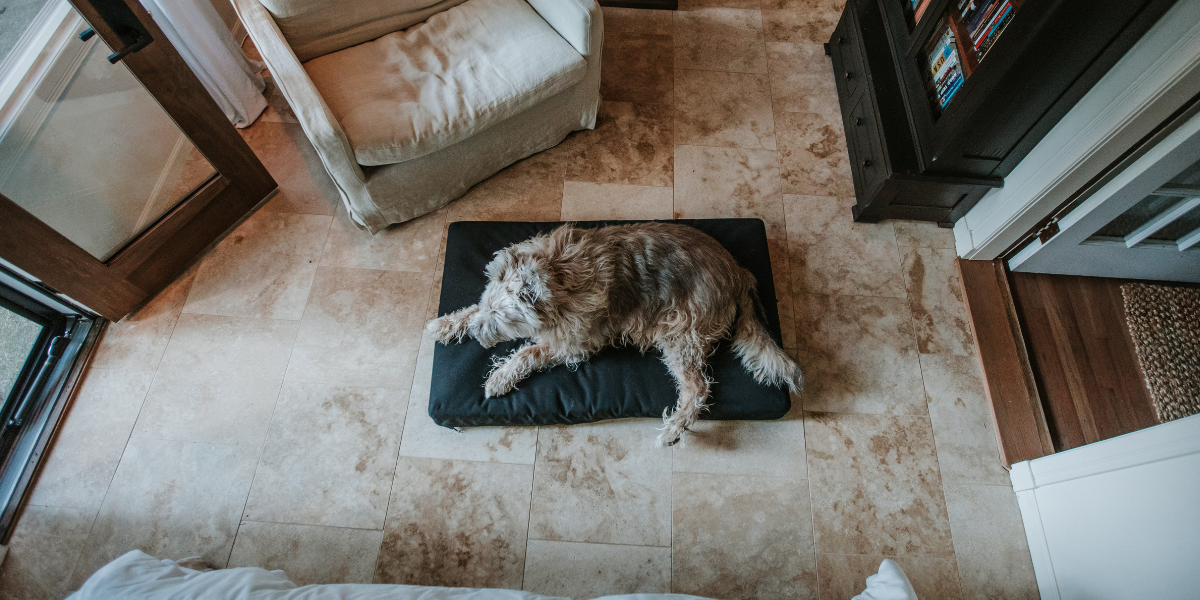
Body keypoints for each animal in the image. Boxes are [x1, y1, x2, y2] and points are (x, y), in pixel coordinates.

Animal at [427, 223, 801, 448]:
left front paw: (500, 377)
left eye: (501, 317)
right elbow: (470, 314)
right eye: (488, 304)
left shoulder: (575, 342)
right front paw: (447, 324)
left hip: (680, 335)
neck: (557, 274)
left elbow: (528, 353)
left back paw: (673, 430)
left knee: (698, 389)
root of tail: (740, 273)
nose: (479, 335)